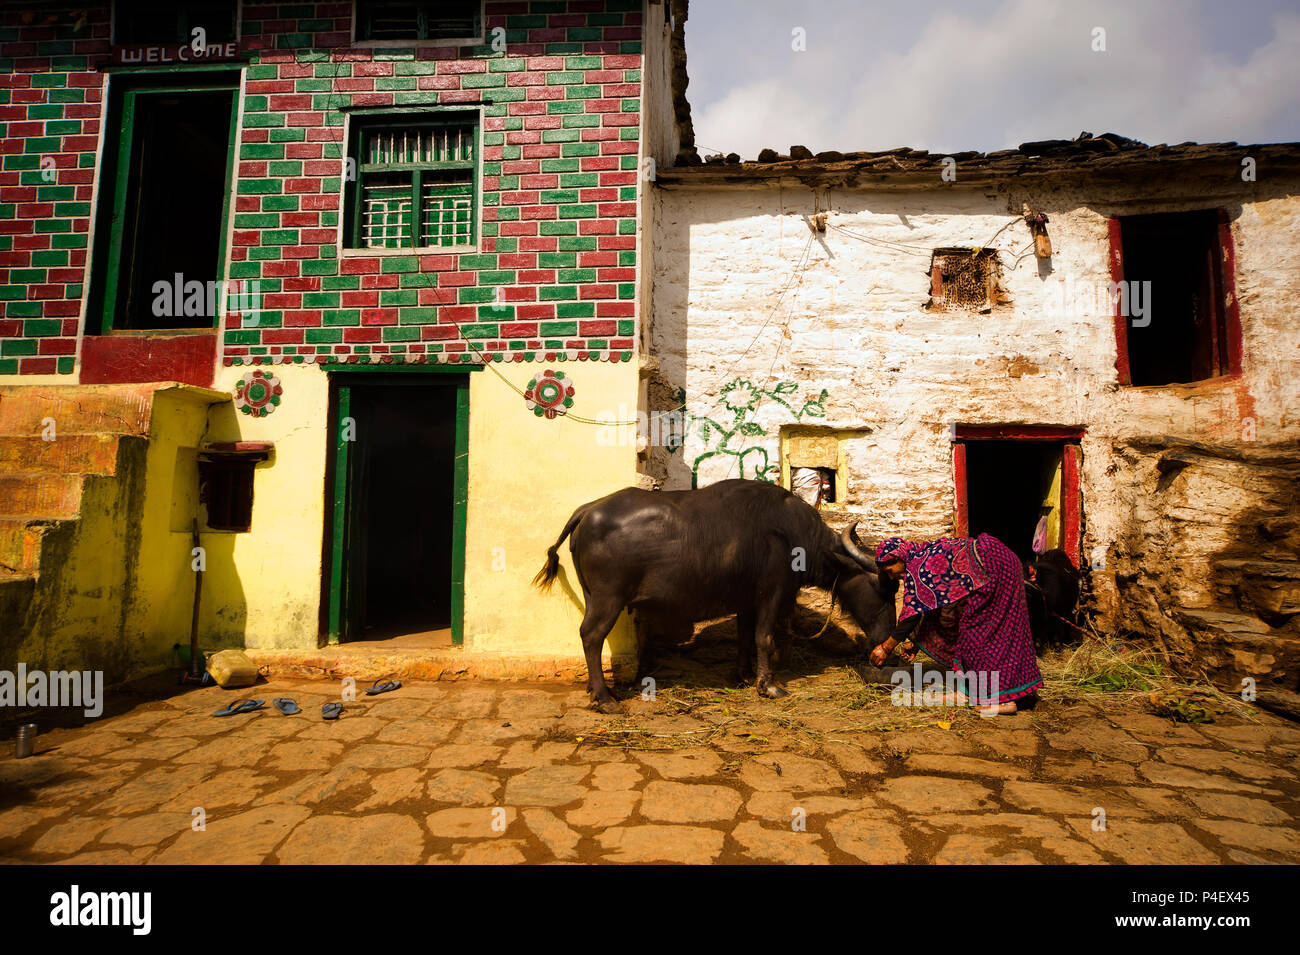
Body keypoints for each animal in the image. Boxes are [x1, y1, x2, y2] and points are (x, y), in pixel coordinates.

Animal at [533, 478, 899, 712]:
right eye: (881, 586)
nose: (888, 639)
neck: (794, 537)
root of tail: (589, 510)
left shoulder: (746, 601)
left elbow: (745, 637)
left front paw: (744, 674)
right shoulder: (771, 593)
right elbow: (765, 638)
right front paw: (769, 685)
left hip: (592, 595)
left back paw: (595, 691)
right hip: (608, 599)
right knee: (592, 635)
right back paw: (605, 698)